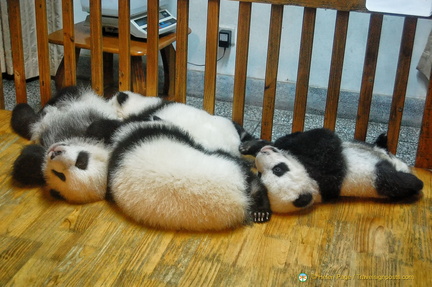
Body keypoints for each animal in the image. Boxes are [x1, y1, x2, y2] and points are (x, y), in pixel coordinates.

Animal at [241, 129, 424, 214]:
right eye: (260, 174)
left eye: (278, 169)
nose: (262, 154)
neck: (314, 186)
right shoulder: (325, 167)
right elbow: (323, 138)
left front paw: (252, 146)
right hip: (382, 178)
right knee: (402, 182)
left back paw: (382, 139)